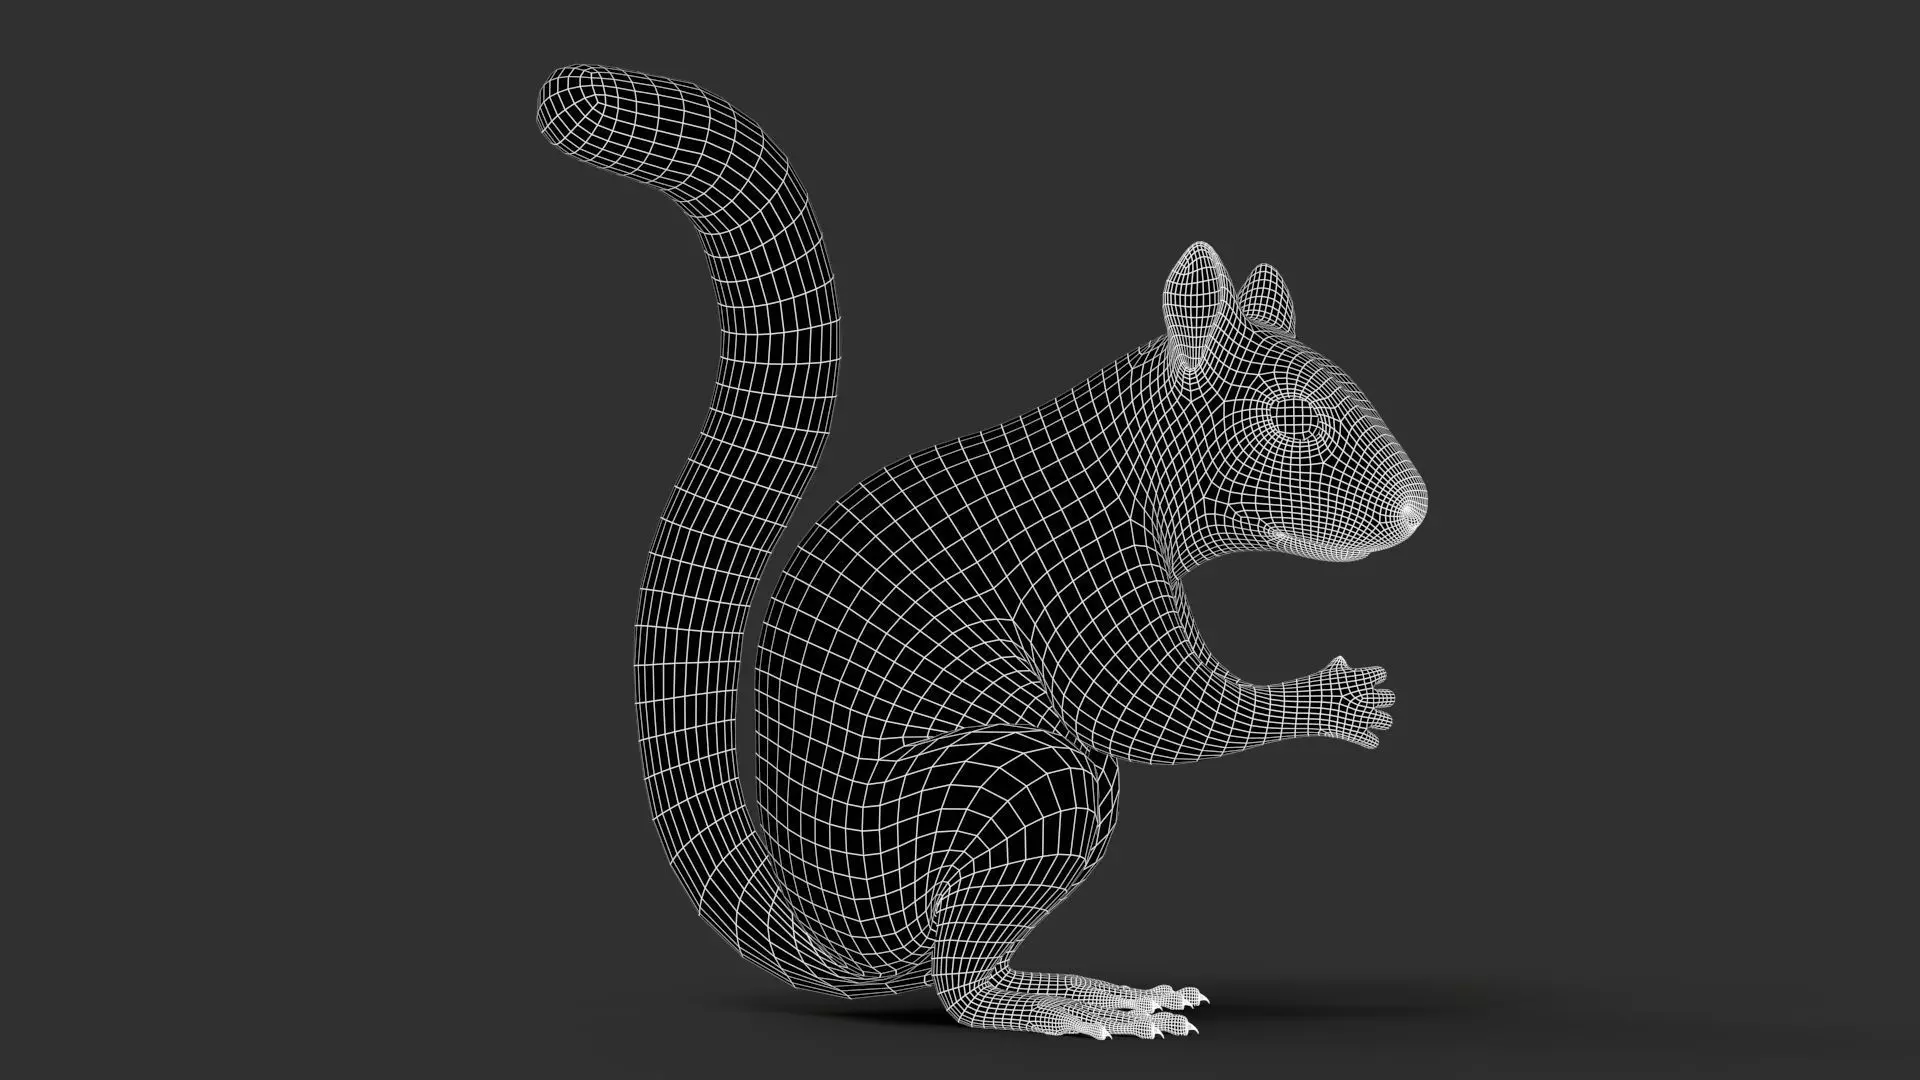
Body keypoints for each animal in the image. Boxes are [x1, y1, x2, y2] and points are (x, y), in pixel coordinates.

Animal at [538, 64, 1428, 1040]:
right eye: (1291, 420)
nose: (1418, 512)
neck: (1125, 454)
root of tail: (830, 938)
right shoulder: (1081, 556)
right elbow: (1150, 707)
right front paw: (1342, 701)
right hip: (996, 796)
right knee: (964, 975)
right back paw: (1062, 1008)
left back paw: (1097, 990)